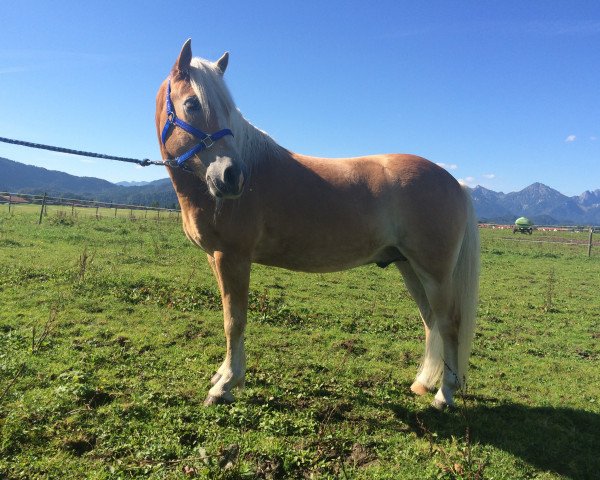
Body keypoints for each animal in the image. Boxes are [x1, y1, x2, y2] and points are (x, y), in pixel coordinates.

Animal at [156, 39, 482, 410]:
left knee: (449, 324)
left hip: (434, 272)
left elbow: (234, 321)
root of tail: (455, 182)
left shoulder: (233, 257)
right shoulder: (216, 257)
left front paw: (225, 385)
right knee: (431, 324)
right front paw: (223, 376)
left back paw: (445, 395)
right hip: (410, 267)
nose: (232, 176)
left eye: (227, 110)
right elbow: (230, 317)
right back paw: (424, 383)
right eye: (192, 104)